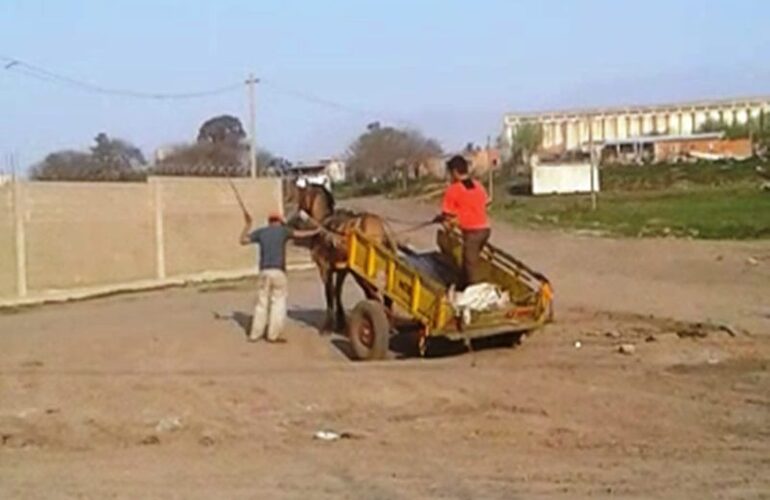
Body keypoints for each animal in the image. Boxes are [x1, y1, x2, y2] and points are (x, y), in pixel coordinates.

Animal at [290, 183, 396, 332]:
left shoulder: (324, 268)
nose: (297, 216)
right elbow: (337, 291)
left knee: (375, 296)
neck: (325, 226)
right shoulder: (342, 269)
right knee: (384, 296)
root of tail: (381, 227)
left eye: (302, 195)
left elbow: (329, 292)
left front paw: (328, 325)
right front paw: (340, 321)